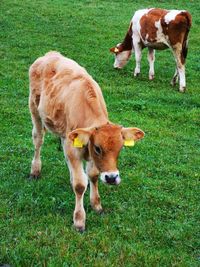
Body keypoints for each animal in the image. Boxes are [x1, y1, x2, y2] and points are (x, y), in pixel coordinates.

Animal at [28, 51, 145, 232]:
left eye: (120, 148)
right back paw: (35, 170)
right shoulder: (75, 149)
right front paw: (79, 220)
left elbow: (93, 175)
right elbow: (79, 185)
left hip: (64, 134)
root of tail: (50, 54)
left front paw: (96, 204)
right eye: (97, 148)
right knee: (38, 140)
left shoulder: (79, 147)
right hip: (34, 109)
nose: (112, 178)